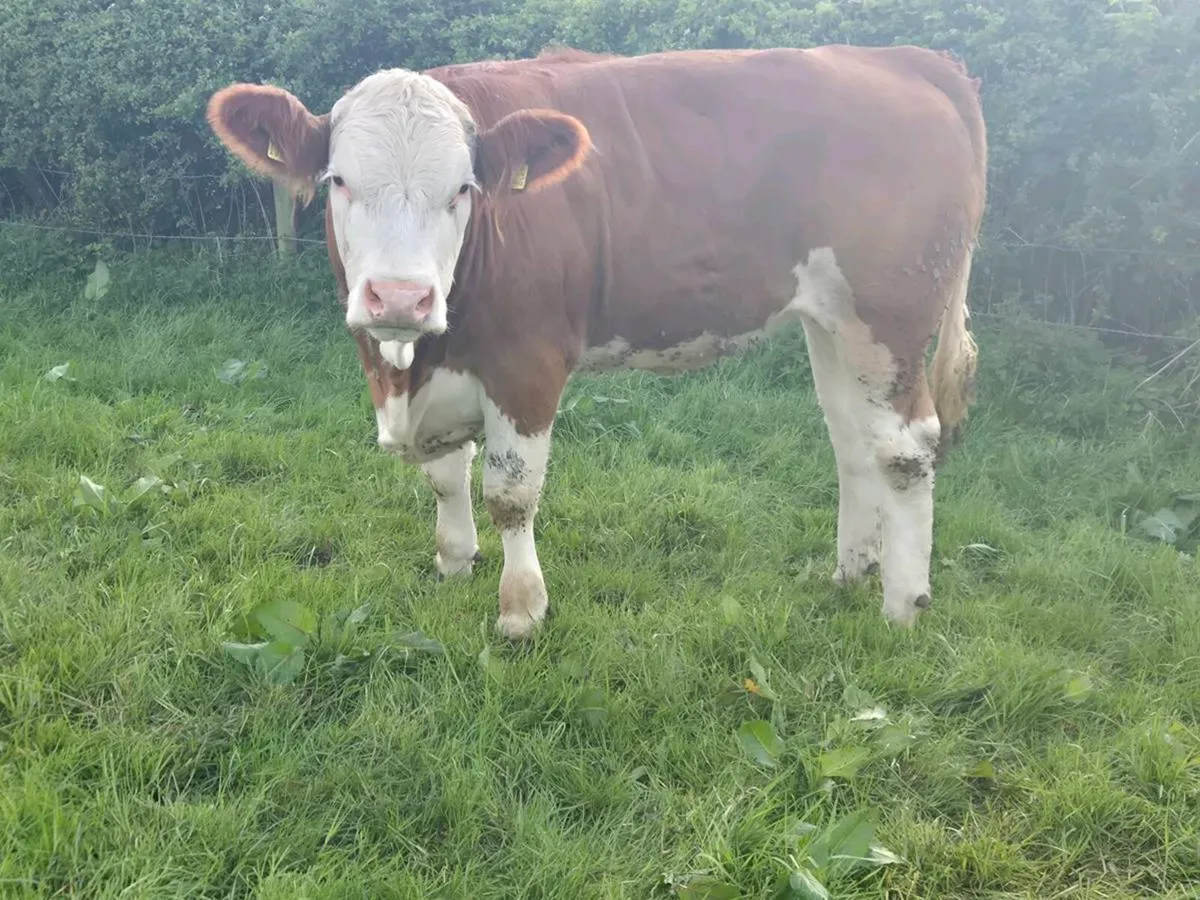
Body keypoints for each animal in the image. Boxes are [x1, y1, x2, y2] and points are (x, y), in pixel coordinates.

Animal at [206, 44, 986, 640]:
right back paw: (850, 572)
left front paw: (520, 611)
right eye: (339, 180)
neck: (407, 370)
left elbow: (511, 493)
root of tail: (899, 56)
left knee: (906, 447)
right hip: (833, 321)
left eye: (464, 189)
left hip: (887, 318)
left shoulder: (528, 364)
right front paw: (454, 562)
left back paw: (902, 604)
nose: (400, 297)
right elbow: (445, 476)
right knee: (852, 439)